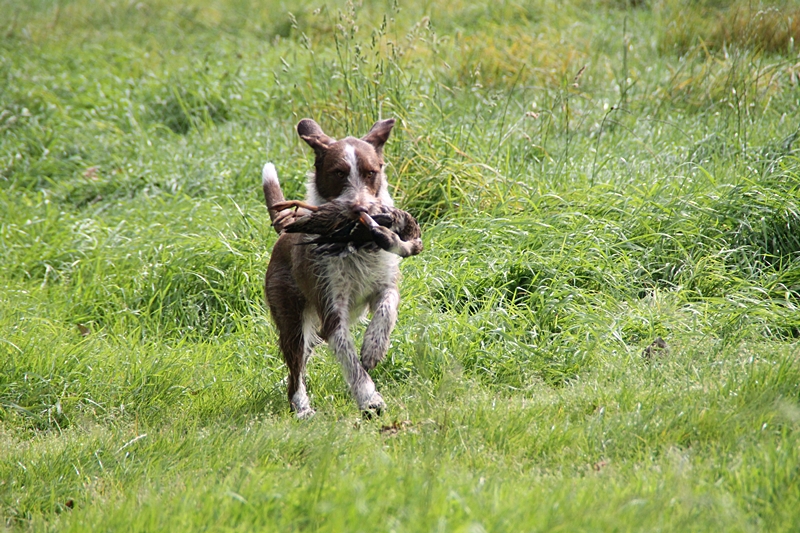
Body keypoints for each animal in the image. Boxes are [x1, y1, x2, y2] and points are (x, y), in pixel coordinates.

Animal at [264, 118, 424, 418]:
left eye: (371, 172)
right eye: (338, 173)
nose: (362, 210)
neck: (355, 245)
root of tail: (283, 234)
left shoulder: (385, 286)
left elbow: (386, 310)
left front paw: (373, 347)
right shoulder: (332, 312)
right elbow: (352, 363)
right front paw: (370, 400)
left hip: (313, 332)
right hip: (293, 322)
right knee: (295, 371)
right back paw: (301, 408)